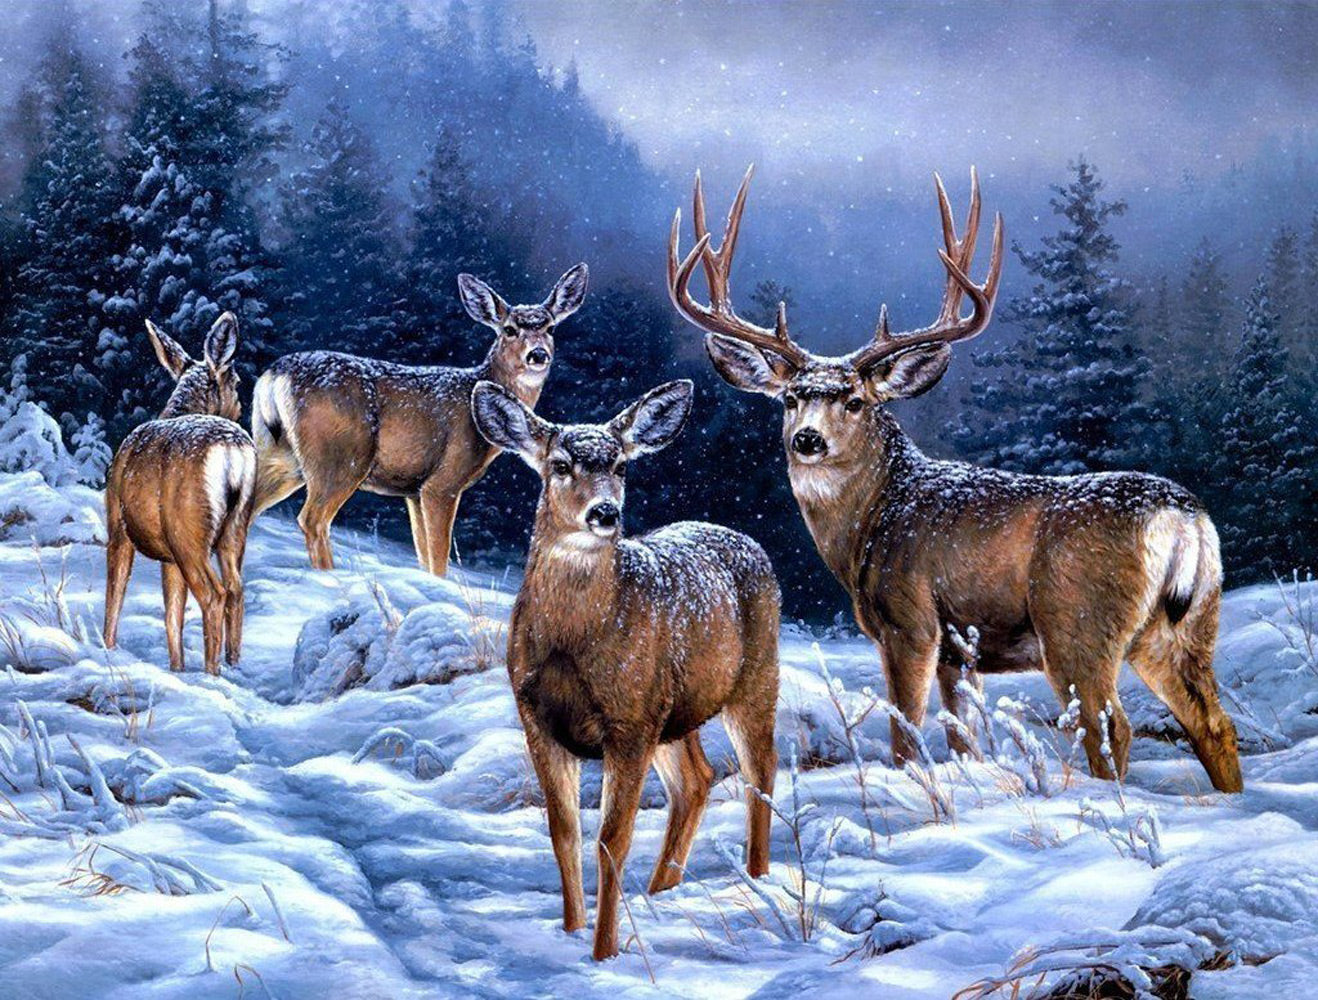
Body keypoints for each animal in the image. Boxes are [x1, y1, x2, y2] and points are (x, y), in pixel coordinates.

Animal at [104, 312, 256, 677]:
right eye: (237, 381)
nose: (241, 408)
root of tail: (232, 451)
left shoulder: (118, 525)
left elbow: (116, 592)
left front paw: (107, 649)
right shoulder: (168, 556)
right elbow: (173, 614)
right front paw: (177, 670)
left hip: (188, 531)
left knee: (214, 595)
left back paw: (213, 674)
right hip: (235, 527)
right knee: (235, 590)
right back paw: (233, 666)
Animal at [250, 264, 588, 575]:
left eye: (551, 328)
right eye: (509, 329)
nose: (538, 354)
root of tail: (273, 376)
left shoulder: (413, 490)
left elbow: (423, 554)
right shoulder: (442, 482)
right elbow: (439, 558)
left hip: (279, 454)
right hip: (341, 456)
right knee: (313, 519)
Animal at [470, 377, 781, 960]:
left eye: (620, 465)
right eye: (560, 465)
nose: (604, 513)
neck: (572, 647)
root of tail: (744, 538)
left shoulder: (629, 723)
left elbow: (612, 841)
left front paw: (604, 953)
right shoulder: (536, 719)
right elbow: (563, 832)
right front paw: (570, 930)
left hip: (752, 679)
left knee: (761, 771)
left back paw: (756, 879)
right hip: (672, 711)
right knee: (698, 779)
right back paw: (663, 891)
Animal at [668, 166, 1242, 793]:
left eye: (854, 401)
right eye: (792, 398)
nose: (807, 440)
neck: (873, 521)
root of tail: (1183, 517)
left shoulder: (911, 623)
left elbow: (906, 738)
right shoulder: (959, 651)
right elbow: (962, 739)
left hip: (1078, 623)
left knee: (1110, 726)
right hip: (1186, 625)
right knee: (1214, 723)